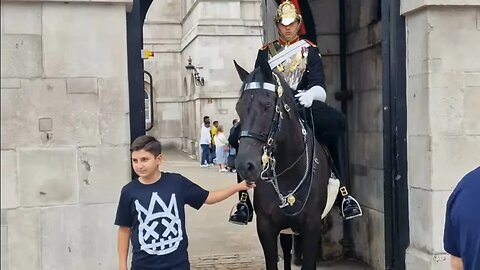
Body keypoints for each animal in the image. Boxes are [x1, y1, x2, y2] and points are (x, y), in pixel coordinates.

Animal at [234, 61, 332, 270]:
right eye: (239, 107)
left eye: (267, 105)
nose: (245, 165)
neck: (288, 174)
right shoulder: (266, 227)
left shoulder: (312, 226)